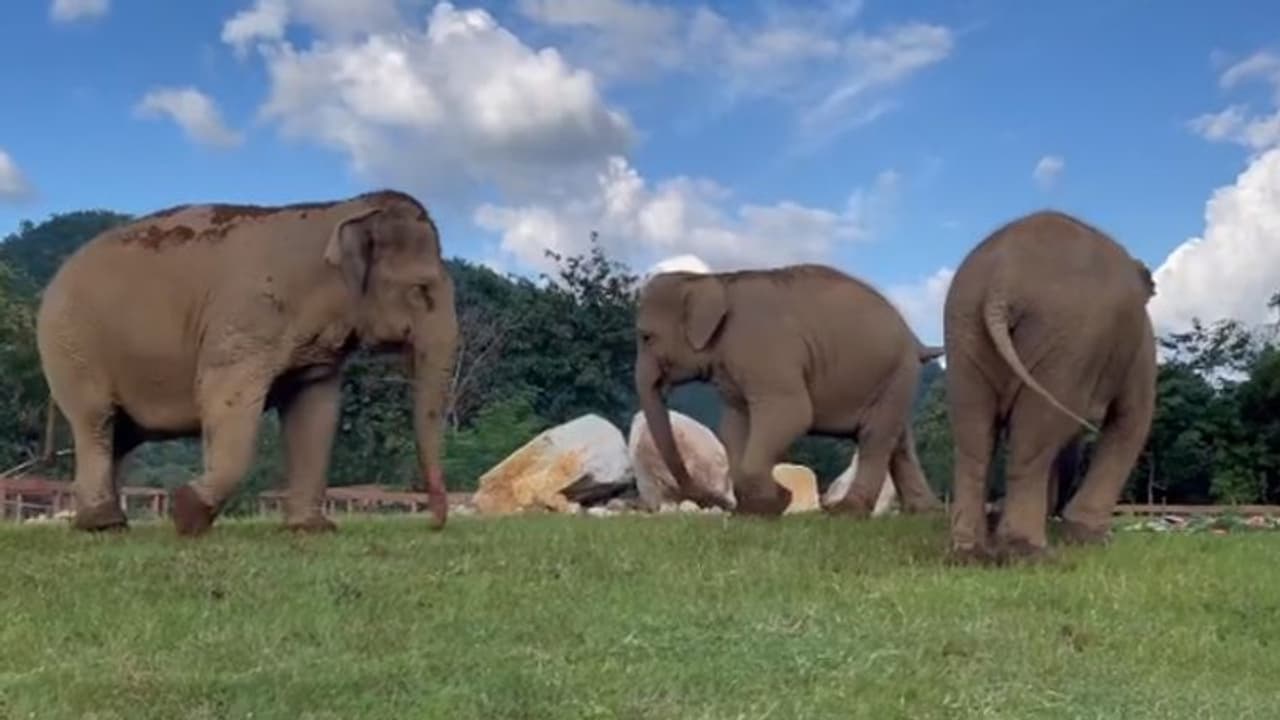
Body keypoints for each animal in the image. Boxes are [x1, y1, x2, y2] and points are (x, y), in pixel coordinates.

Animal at [35, 189, 458, 536]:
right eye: (421, 290)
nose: (435, 524)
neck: (339, 210)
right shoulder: (246, 318)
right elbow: (222, 397)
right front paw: (187, 515)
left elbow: (316, 412)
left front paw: (311, 529)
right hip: (71, 344)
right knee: (96, 420)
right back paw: (103, 525)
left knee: (120, 434)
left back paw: (105, 523)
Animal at [633, 264, 946, 517]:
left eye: (646, 337)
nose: (724, 507)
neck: (713, 280)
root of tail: (916, 340)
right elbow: (734, 426)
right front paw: (757, 509)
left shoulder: (763, 350)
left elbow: (792, 414)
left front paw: (771, 505)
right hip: (896, 378)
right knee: (899, 441)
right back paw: (923, 511)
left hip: (896, 371)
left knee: (875, 438)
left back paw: (847, 512)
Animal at [943, 209, 1156, 563]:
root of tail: (1001, 284)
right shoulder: (1140, 347)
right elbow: (1131, 420)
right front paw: (1092, 538)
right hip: (1067, 341)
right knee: (1037, 432)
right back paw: (1031, 553)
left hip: (964, 330)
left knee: (972, 433)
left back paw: (969, 551)